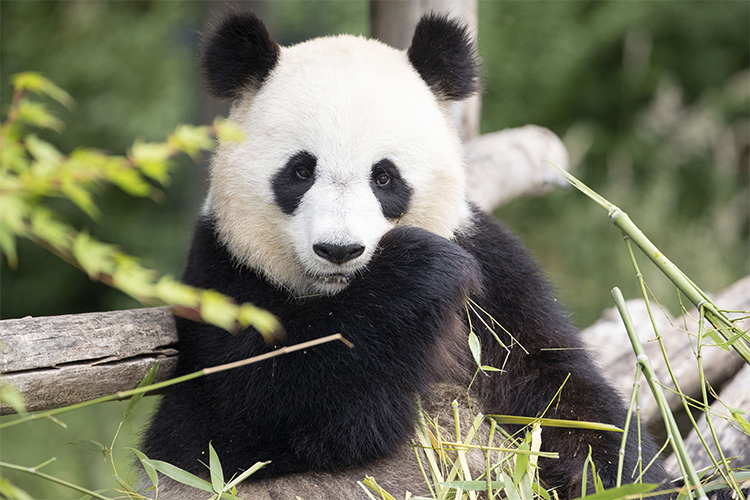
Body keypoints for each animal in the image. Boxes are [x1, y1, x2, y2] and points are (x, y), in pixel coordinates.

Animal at [144, 10, 672, 500]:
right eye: (299, 172)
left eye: (384, 177)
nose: (339, 250)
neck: (336, 297)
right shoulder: (223, 276)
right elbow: (235, 420)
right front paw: (415, 269)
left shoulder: (495, 278)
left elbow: (562, 402)